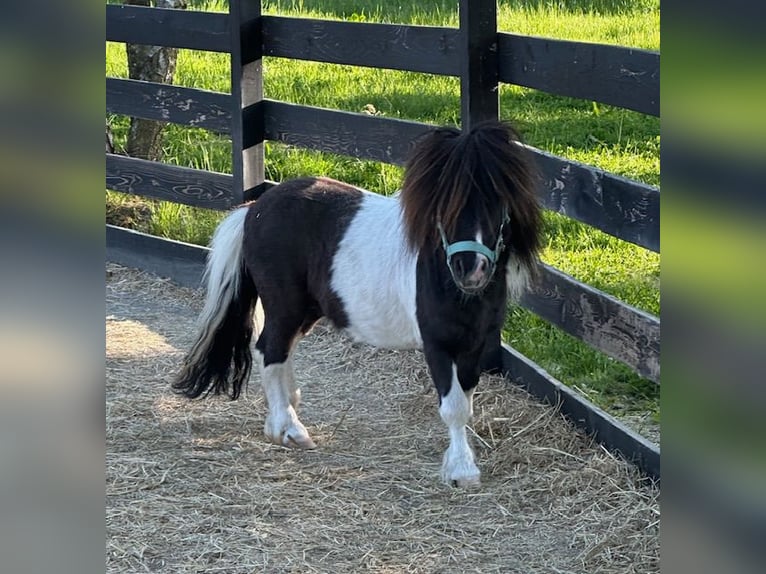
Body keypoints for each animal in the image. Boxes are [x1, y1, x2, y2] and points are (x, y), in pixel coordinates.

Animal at [172, 120, 542, 487]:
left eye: (497, 201)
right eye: (444, 205)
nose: (470, 269)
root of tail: (254, 209)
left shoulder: (473, 346)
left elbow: (465, 402)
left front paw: (461, 462)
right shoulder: (438, 344)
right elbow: (453, 406)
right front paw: (461, 471)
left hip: (306, 311)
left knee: (282, 351)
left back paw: (289, 408)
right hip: (284, 305)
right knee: (270, 351)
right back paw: (288, 429)